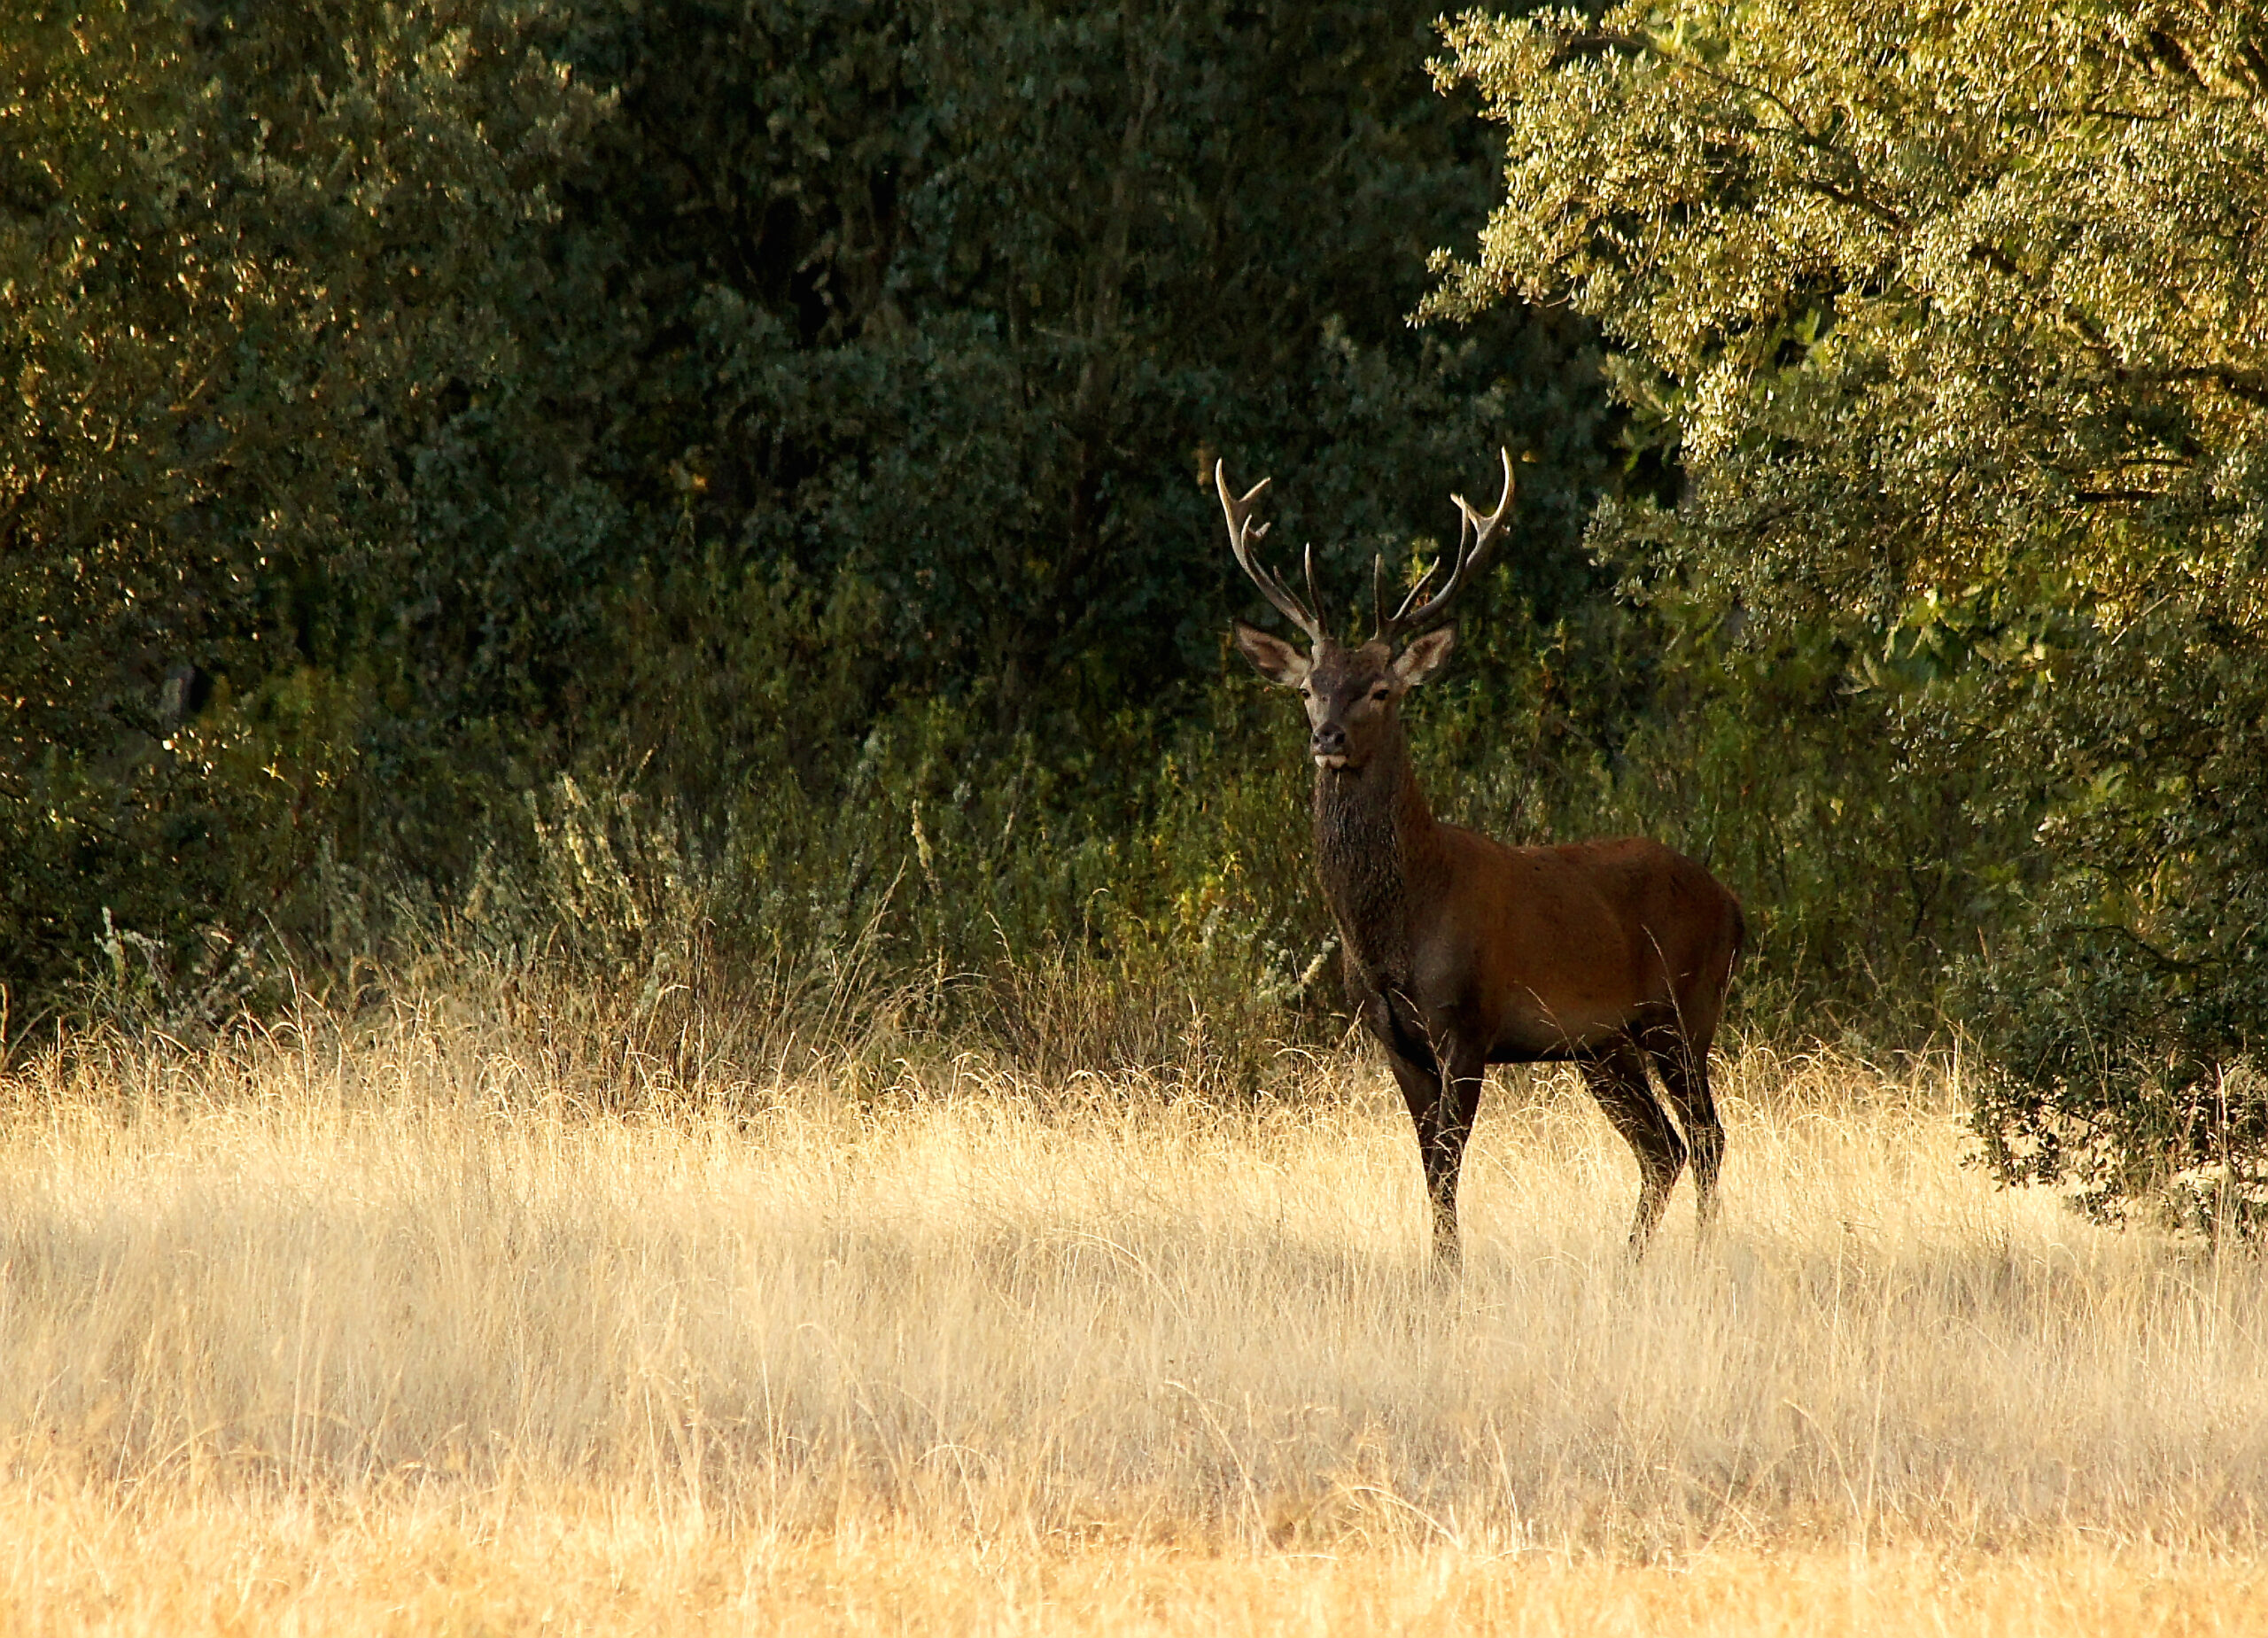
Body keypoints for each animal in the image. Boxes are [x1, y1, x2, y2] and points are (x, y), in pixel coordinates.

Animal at [1218, 450, 1745, 1265]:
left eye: (1380, 689)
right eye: (1309, 687)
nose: (1327, 736)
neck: (1397, 927)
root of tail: (1735, 906)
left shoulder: (1466, 1022)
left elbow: (1448, 1161)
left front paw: (1446, 1272)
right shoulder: (1392, 1037)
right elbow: (1428, 1164)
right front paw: (1440, 1266)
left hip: (1685, 1008)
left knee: (1709, 1136)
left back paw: (1699, 1257)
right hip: (1603, 1045)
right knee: (1664, 1147)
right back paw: (1630, 1261)